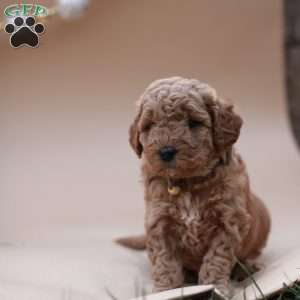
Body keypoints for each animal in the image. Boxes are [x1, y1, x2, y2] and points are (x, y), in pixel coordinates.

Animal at [118, 77, 270, 298]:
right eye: (150, 125)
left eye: (193, 122)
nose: (166, 152)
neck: (186, 182)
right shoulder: (159, 222)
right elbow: (165, 262)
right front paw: (166, 291)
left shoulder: (228, 222)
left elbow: (216, 259)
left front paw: (215, 287)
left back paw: (248, 268)